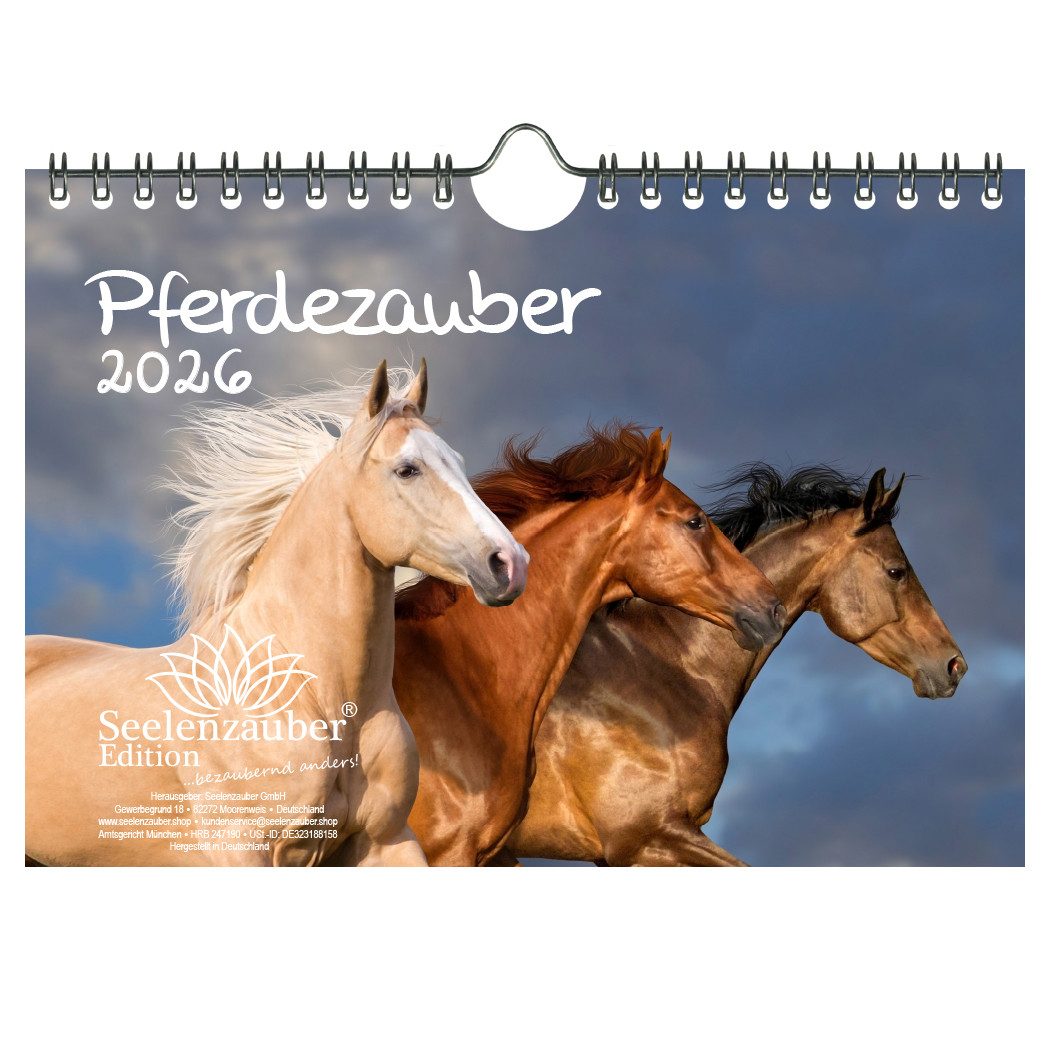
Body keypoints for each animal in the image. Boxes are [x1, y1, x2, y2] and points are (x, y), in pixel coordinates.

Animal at [25, 360, 529, 866]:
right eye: (407, 470)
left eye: (458, 462)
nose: (509, 564)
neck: (320, 702)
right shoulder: (241, 847)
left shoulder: (388, 840)